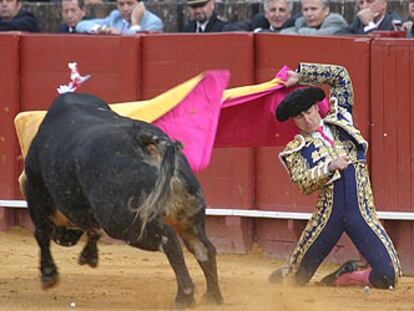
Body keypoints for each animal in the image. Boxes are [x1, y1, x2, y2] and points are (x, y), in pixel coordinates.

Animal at [21, 92, 223, 308]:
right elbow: (92, 229)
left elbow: (41, 233)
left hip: (124, 222)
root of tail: (146, 140)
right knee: (203, 248)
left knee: (170, 240)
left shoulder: (36, 194)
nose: (63, 239)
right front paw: (88, 257)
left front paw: (48, 276)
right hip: (189, 213)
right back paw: (212, 297)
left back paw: (185, 296)